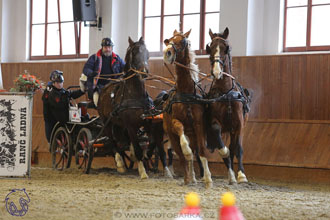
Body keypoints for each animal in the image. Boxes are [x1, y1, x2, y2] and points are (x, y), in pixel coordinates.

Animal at [96, 37, 151, 180]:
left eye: (147, 53)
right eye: (135, 52)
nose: (144, 72)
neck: (134, 94)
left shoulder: (147, 122)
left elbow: (149, 142)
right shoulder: (130, 125)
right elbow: (137, 148)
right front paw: (143, 171)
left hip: (119, 125)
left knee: (121, 142)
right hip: (107, 123)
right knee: (113, 142)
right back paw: (120, 164)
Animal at [162, 29, 211, 187]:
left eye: (183, 41)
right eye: (168, 40)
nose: (167, 52)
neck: (187, 92)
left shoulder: (199, 125)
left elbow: (202, 151)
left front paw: (208, 178)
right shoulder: (175, 123)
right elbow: (184, 147)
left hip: (193, 135)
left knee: (194, 153)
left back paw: (193, 178)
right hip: (171, 136)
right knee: (182, 155)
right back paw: (187, 178)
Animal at [206, 27, 250, 184]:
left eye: (226, 48)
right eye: (210, 47)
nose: (217, 72)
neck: (226, 93)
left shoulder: (239, 125)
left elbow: (237, 149)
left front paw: (241, 175)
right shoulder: (214, 121)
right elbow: (223, 146)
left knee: (235, 147)